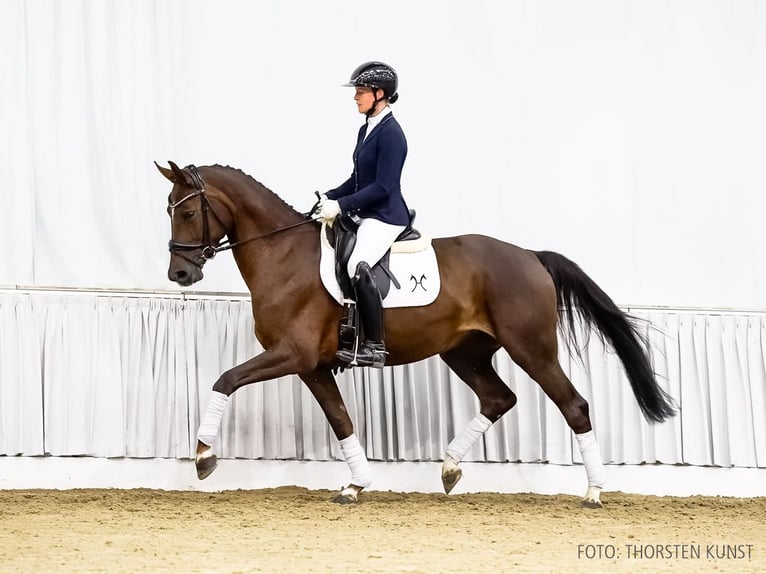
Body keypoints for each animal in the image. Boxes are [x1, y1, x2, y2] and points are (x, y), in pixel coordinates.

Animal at [158, 161, 680, 508]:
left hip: (532, 350)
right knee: (498, 398)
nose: (180, 274)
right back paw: (449, 467)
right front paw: (356, 484)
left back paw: (593, 491)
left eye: (187, 214)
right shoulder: (313, 366)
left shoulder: (293, 354)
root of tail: (530, 255)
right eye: (169, 210)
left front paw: (203, 455)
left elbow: (225, 379)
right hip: (464, 352)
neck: (282, 255)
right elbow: (342, 420)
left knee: (574, 405)